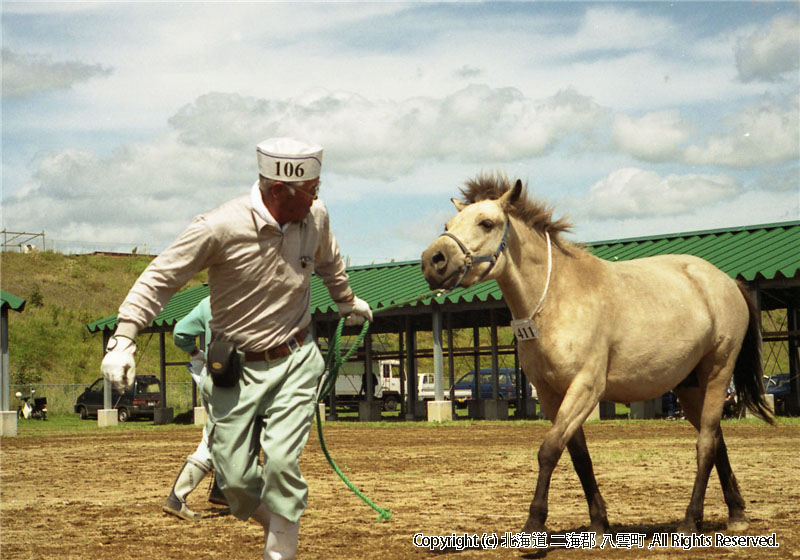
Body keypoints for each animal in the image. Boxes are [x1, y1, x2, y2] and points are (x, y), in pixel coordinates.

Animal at [418, 174, 776, 532]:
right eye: (448, 224)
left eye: (486, 222)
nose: (433, 261)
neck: (558, 298)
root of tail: (727, 282)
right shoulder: (550, 394)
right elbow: (578, 455)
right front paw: (599, 521)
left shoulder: (586, 387)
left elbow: (549, 449)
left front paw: (534, 522)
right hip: (689, 386)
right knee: (715, 439)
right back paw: (736, 513)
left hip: (717, 372)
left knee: (705, 443)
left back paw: (690, 520)